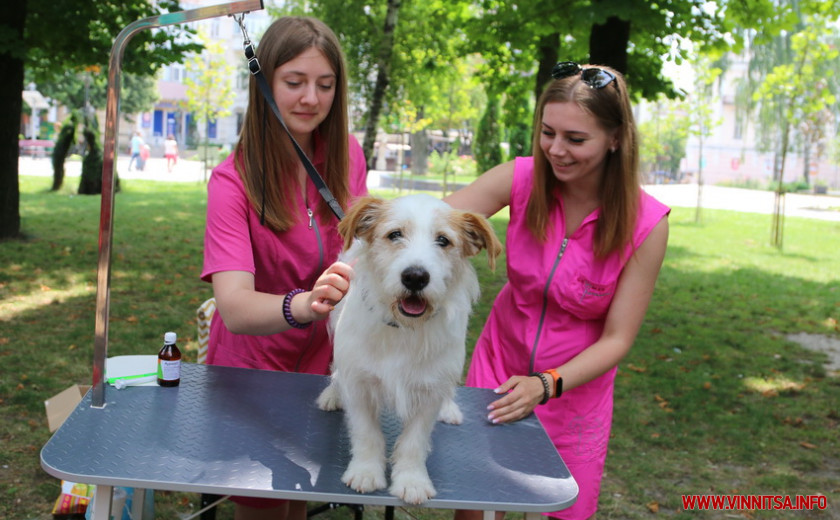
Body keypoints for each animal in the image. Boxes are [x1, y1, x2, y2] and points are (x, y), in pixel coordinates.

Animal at [314, 193, 498, 502]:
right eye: (395, 235)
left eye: (443, 240)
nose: (415, 277)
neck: (404, 329)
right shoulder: (359, 384)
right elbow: (366, 433)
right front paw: (366, 471)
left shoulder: (428, 393)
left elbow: (415, 441)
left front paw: (411, 481)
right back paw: (332, 394)